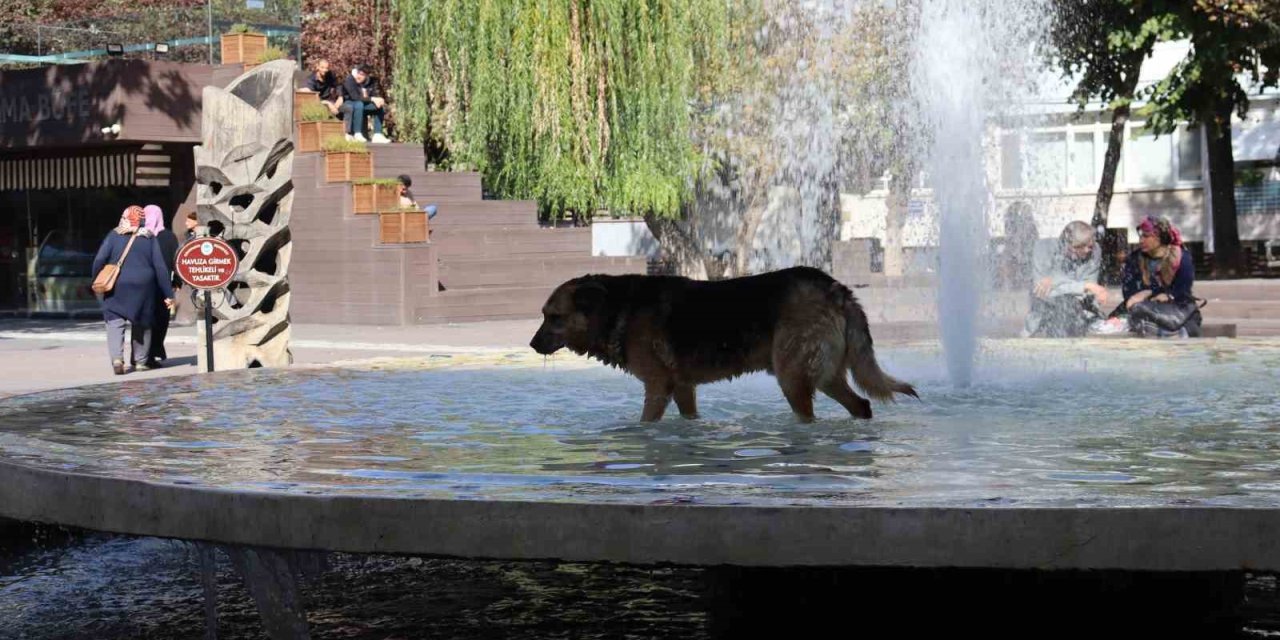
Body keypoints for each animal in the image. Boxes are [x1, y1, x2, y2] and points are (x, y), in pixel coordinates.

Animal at [524, 266, 916, 422]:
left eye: (553, 317)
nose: (531, 344)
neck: (617, 307)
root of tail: (837, 288)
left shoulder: (657, 387)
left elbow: (646, 422)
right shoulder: (683, 388)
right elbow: (690, 416)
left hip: (793, 376)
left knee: (811, 414)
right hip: (826, 374)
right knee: (861, 405)